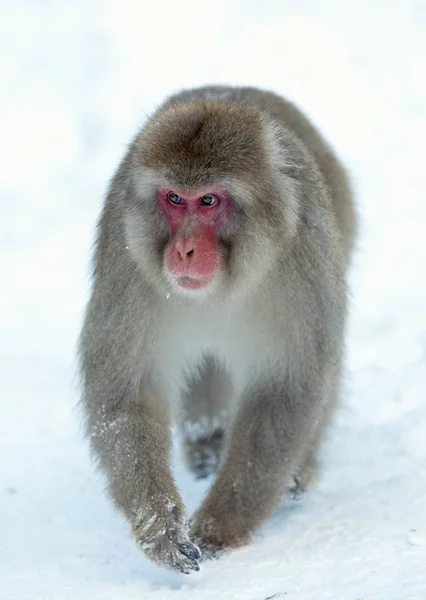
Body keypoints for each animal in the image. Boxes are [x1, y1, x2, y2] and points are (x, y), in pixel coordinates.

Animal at [79, 85, 356, 576]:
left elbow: (286, 389)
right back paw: (206, 445)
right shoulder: (127, 258)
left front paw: (219, 527)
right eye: (174, 199)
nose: (184, 251)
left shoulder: (302, 257)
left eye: (208, 201)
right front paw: (160, 526)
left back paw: (299, 467)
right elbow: (126, 393)